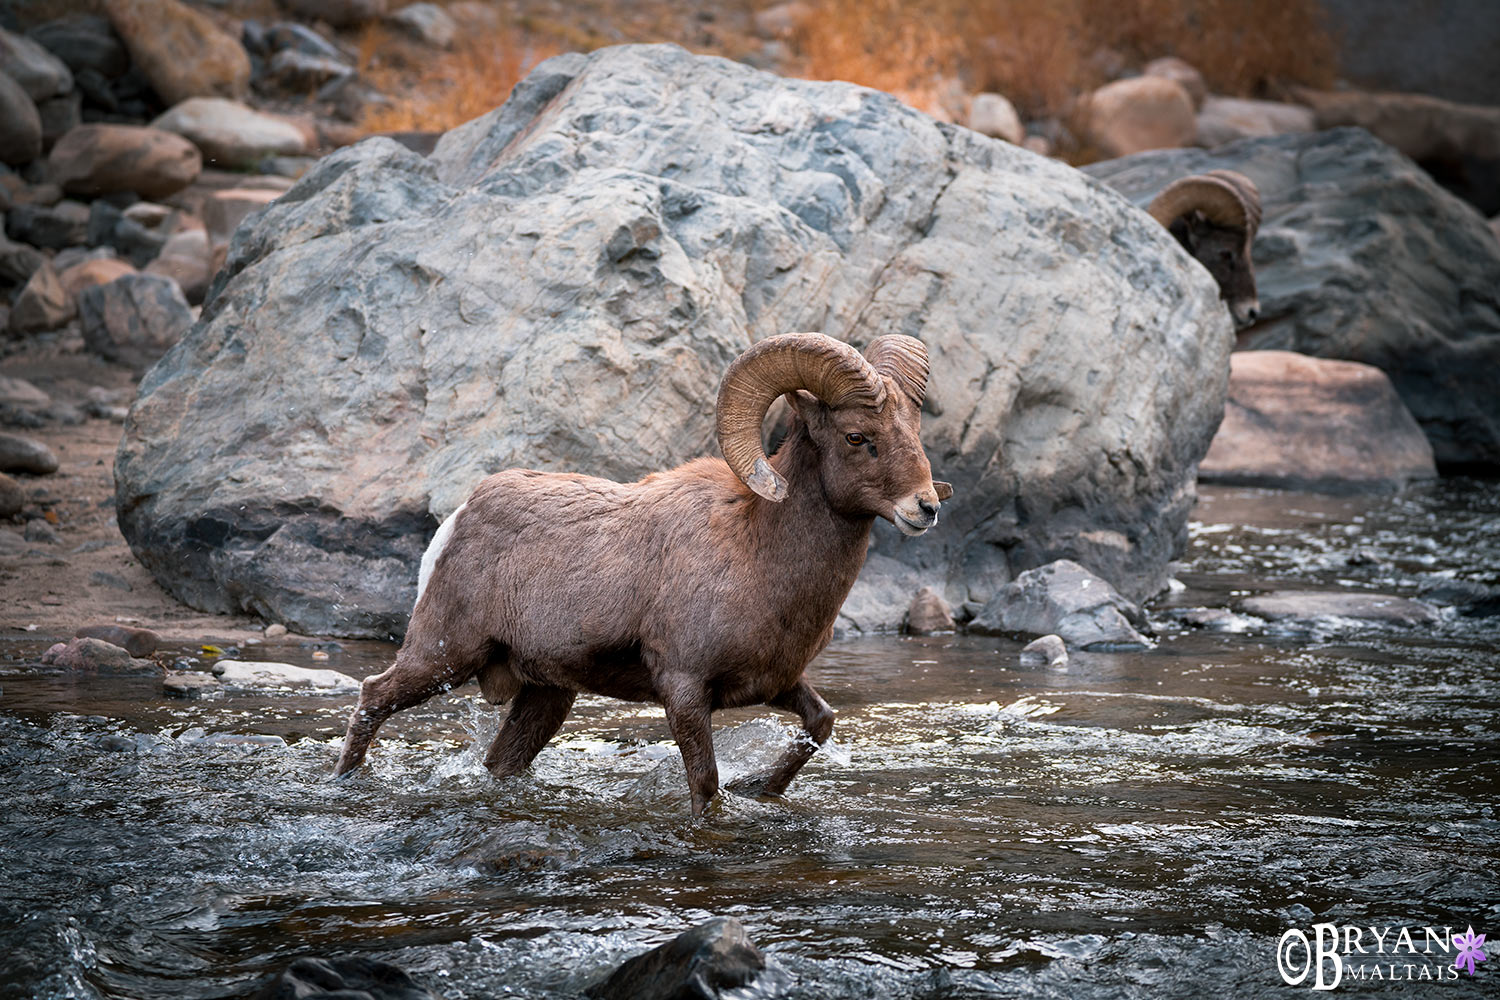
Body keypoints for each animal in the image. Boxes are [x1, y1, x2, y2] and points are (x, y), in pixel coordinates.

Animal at [336, 332, 954, 815]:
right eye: (856, 437)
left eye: (913, 429)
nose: (925, 508)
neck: (758, 553)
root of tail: (461, 515)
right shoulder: (683, 690)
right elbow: (705, 785)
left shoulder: (778, 683)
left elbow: (819, 724)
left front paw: (762, 789)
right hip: (444, 656)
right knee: (373, 697)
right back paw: (345, 785)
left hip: (545, 694)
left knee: (500, 761)